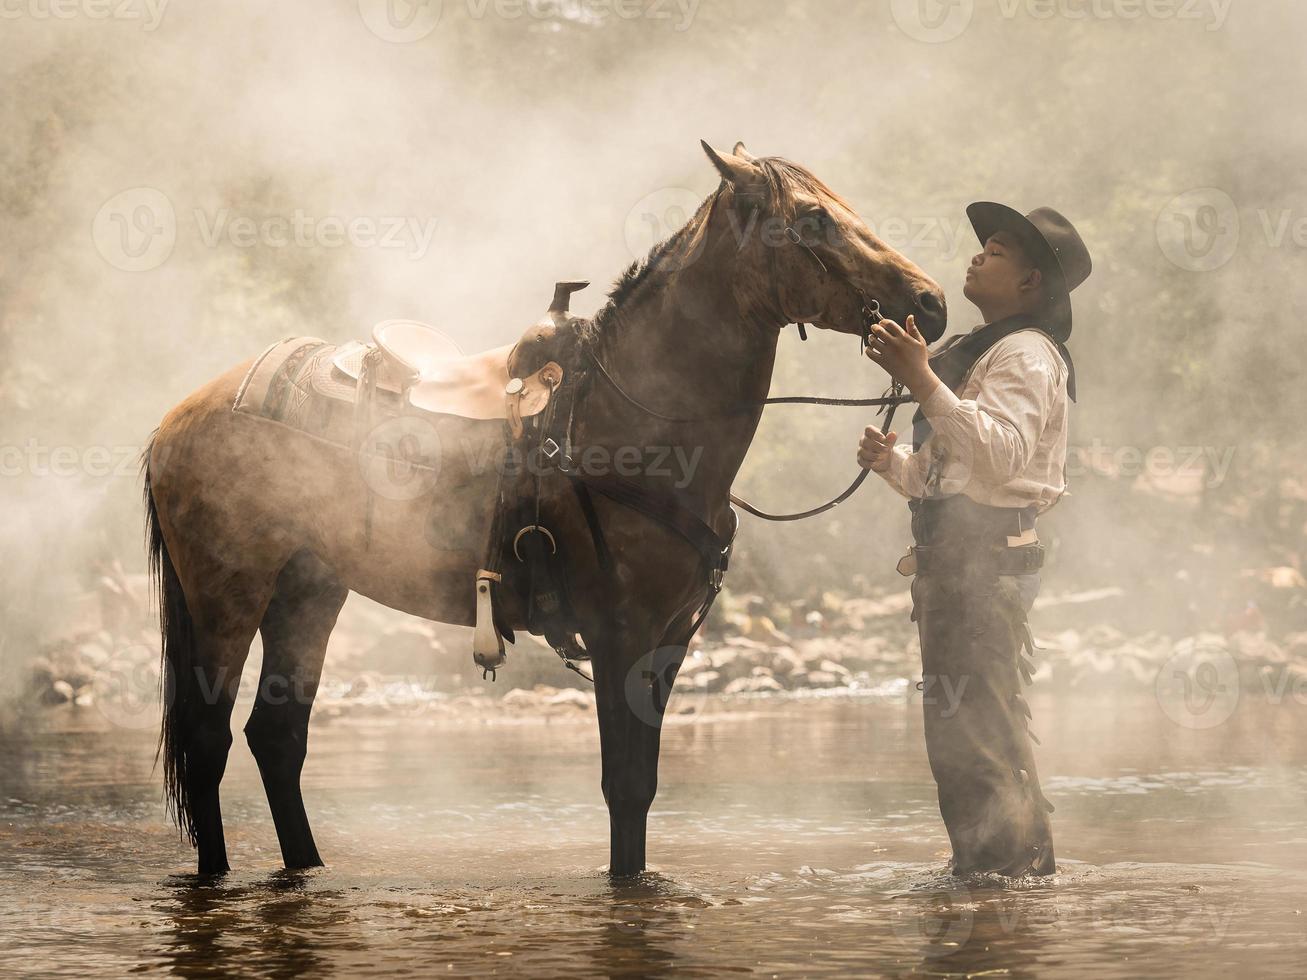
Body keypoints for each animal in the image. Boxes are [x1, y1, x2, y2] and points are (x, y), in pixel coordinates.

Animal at [143, 139, 946, 883]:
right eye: (811, 218)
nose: (931, 303)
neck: (629, 426)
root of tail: (181, 416)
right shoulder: (620, 634)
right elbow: (624, 788)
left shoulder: (667, 642)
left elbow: (643, 787)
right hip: (227, 596)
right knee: (210, 741)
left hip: (309, 591)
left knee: (277, 737)